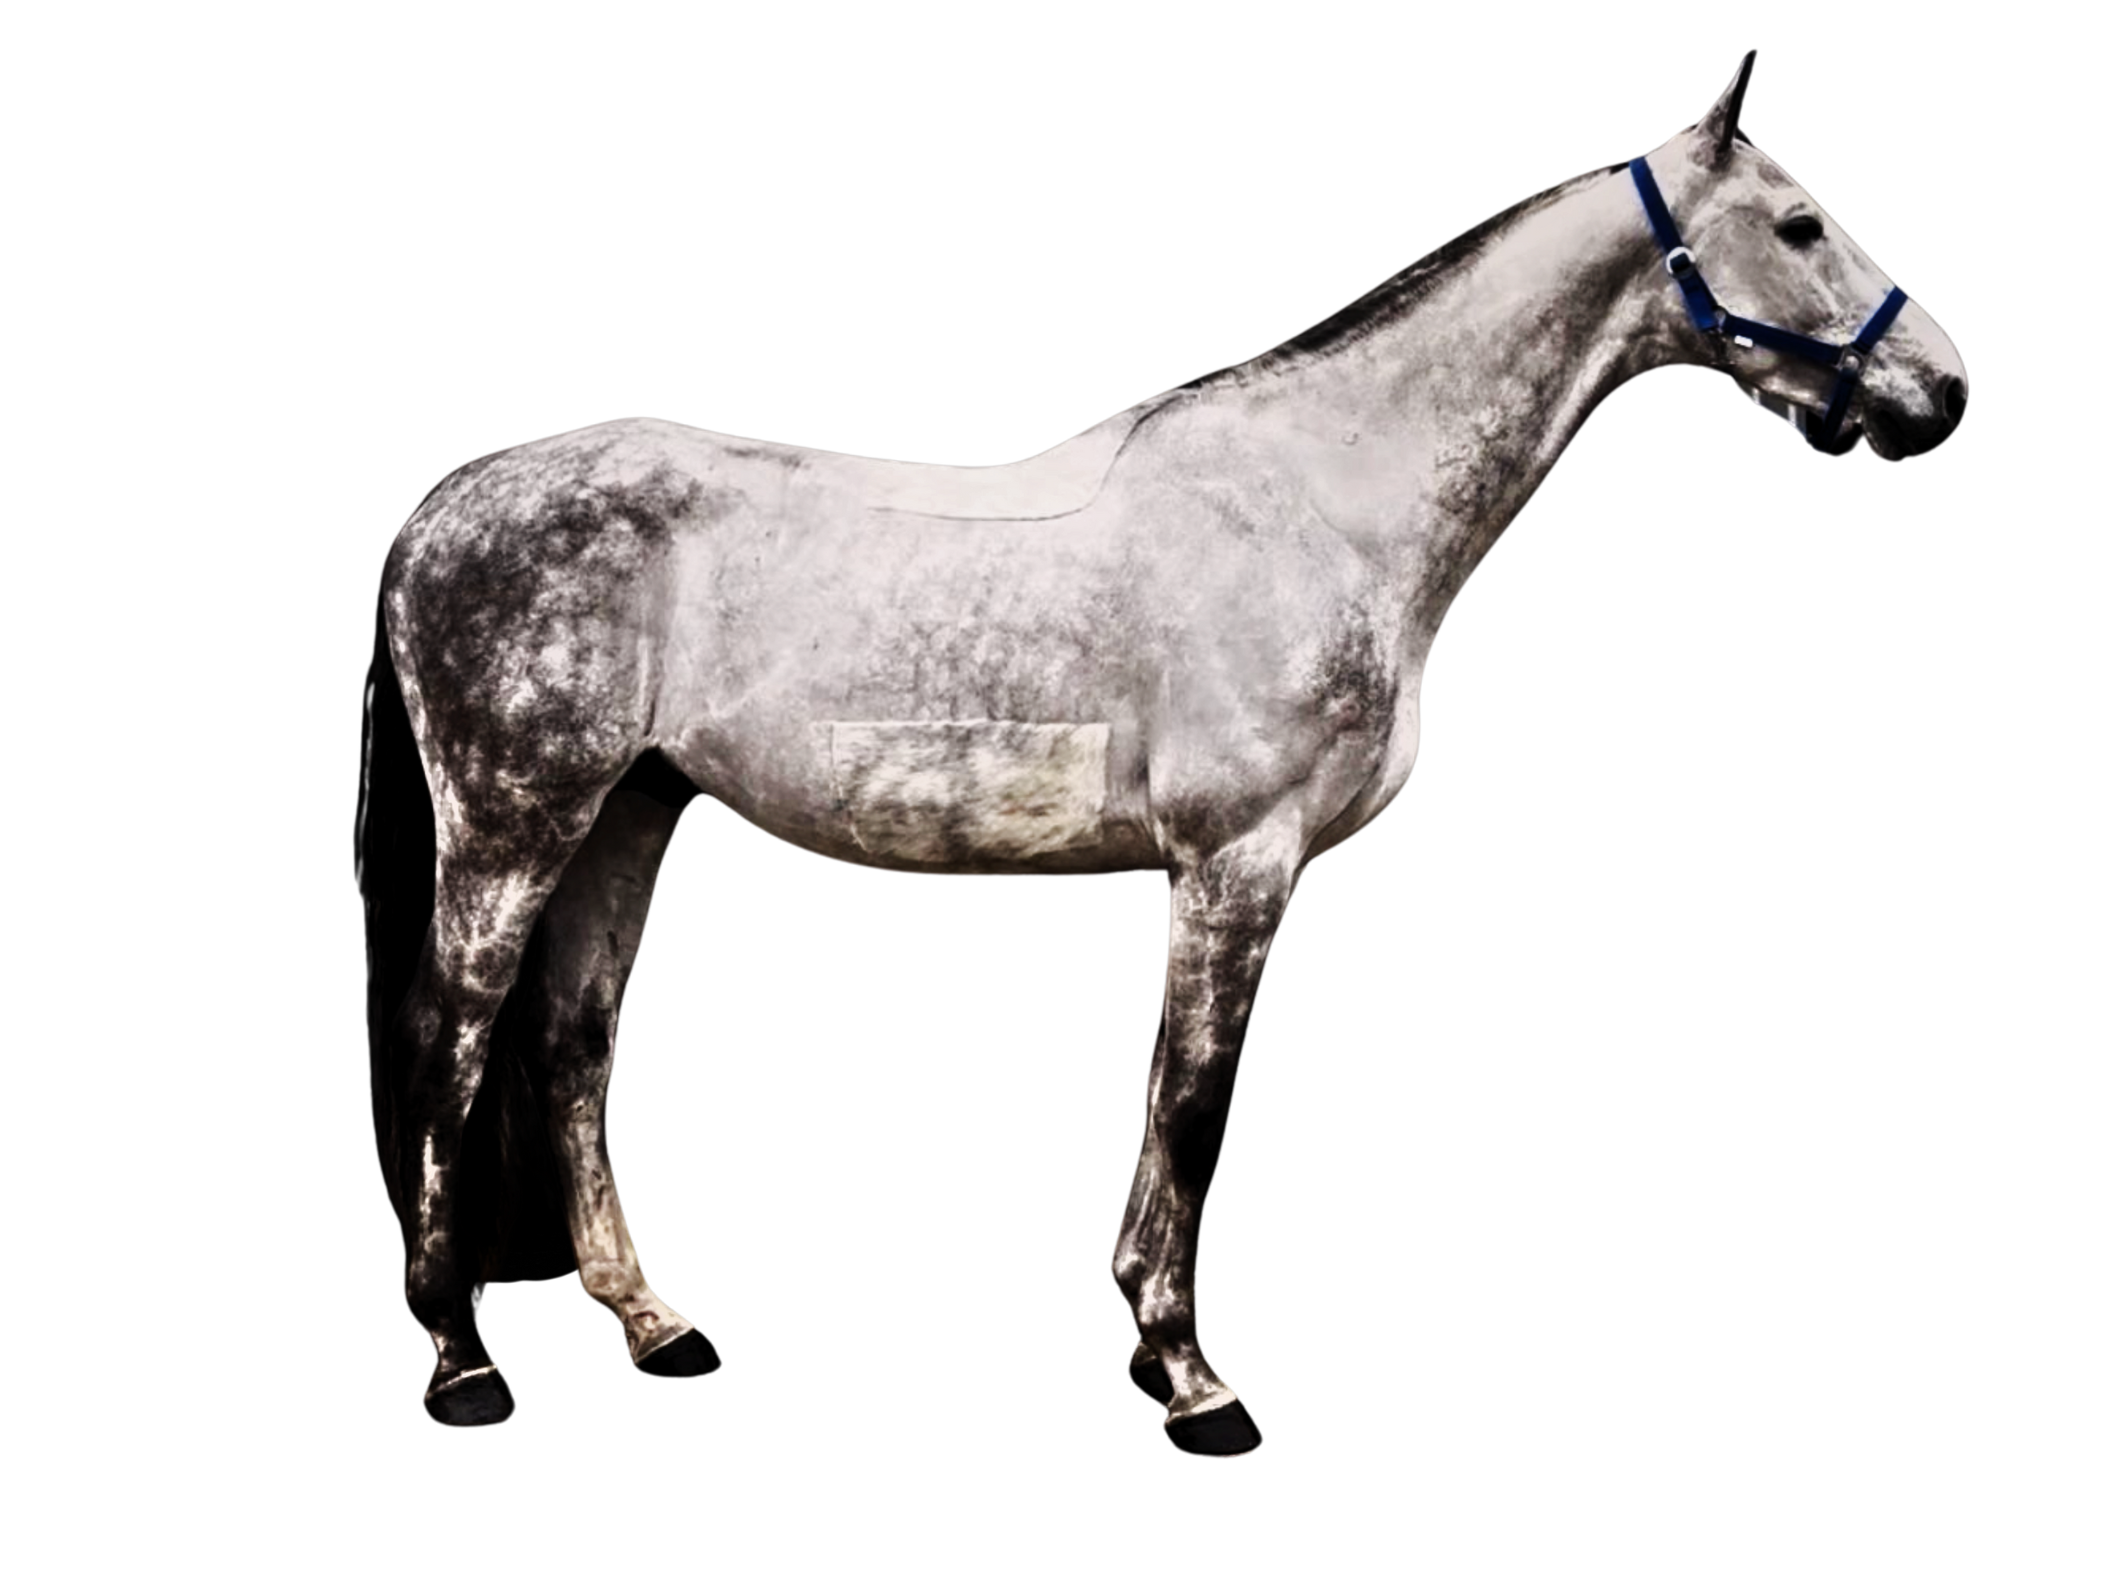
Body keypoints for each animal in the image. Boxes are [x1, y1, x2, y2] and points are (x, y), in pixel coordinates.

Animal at [364, 54, 1967, 1456]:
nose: (1943, 387)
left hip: (630, 812)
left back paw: (652, 1325)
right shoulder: (1236, 858)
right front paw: (1192, 1377)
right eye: (1800, 223)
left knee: (570, 1050)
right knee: (448, 1042)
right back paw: (459, 1368)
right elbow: (1191, 1101)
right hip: (512, 818)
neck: (1325, 501)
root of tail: (442, 509)